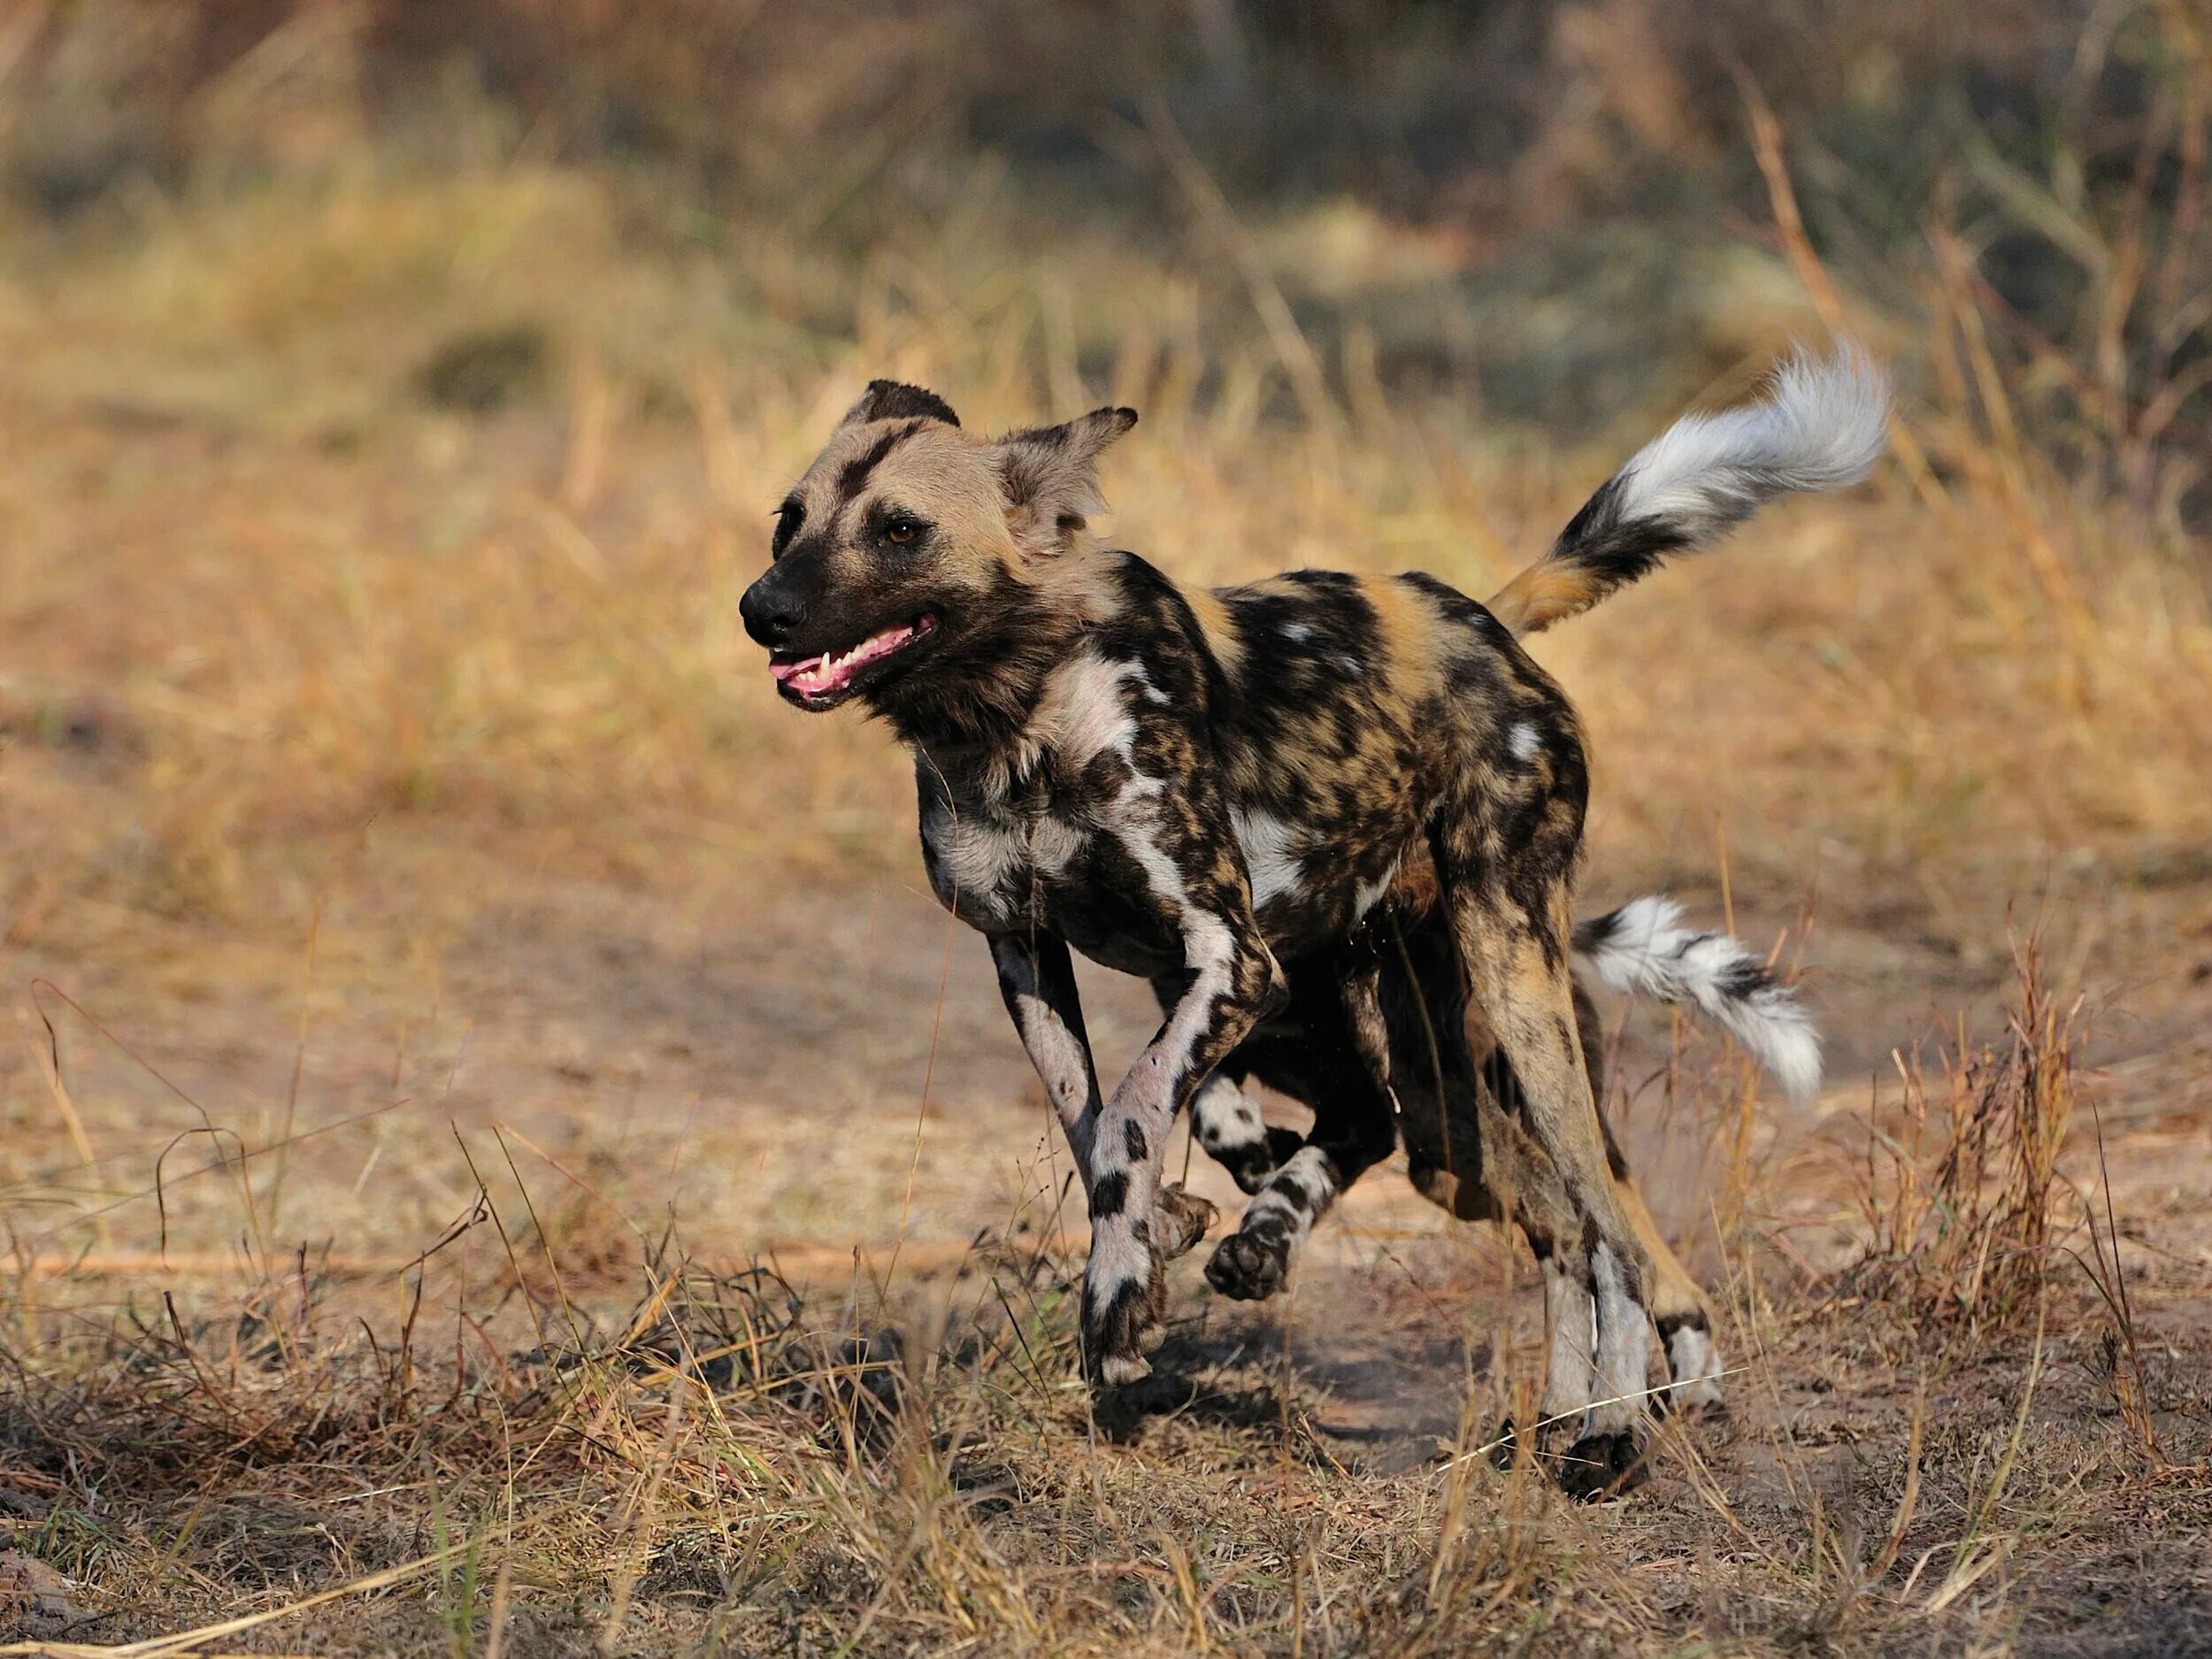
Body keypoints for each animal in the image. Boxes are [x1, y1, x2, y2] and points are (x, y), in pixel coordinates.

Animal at [743, 354, 1885, 1504]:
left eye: (899, 530)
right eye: (787, 522)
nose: (762, 609)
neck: (1015, 716)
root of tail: (1483, 623)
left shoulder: (1231, 957)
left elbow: (1131, 1112)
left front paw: (1118, 1297)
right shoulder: (1025, 952)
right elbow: (1095, 1120)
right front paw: (1156, 1245)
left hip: (1516, 999)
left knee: (1610, 1233)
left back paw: (1618, 1432)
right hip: (1437, 1104)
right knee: (1557, 1223)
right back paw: (1562, 1419)